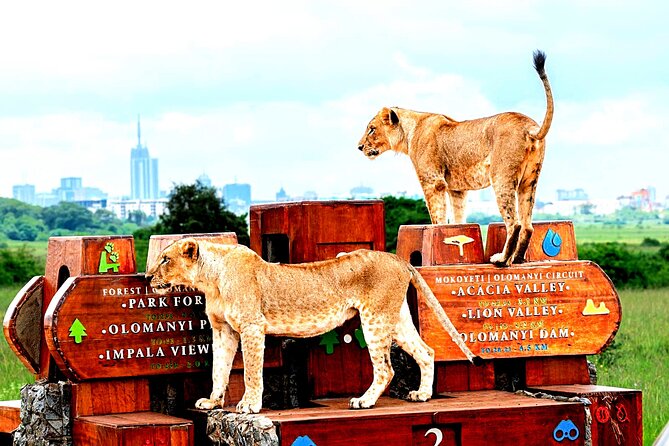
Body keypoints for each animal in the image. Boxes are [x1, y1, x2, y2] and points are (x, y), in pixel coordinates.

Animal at [146, 239, 481, 414]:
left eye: (165, 259)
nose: (148, 278)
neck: (210, 279)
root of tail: (398, 259)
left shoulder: (252, 327)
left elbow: (251, 372)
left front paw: (249, 405)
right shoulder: (223, 330)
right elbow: (219, 369)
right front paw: (213, 401)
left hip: (374, 318)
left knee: (386, 368)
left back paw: (364, 401)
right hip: (394, 317)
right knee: (426, 351)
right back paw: (422, 395)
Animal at [357, 50, 554, 266]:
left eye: (371, 129)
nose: (359, 147)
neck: (409, 133)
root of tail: (530, 127)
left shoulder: (433, 182)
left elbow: (437, 216)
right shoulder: (457, 189)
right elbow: (458, 217)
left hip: (502, 178)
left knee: (514, 223)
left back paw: (502, 259)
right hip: (529, 181)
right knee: (528, 226)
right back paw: (517, 259)